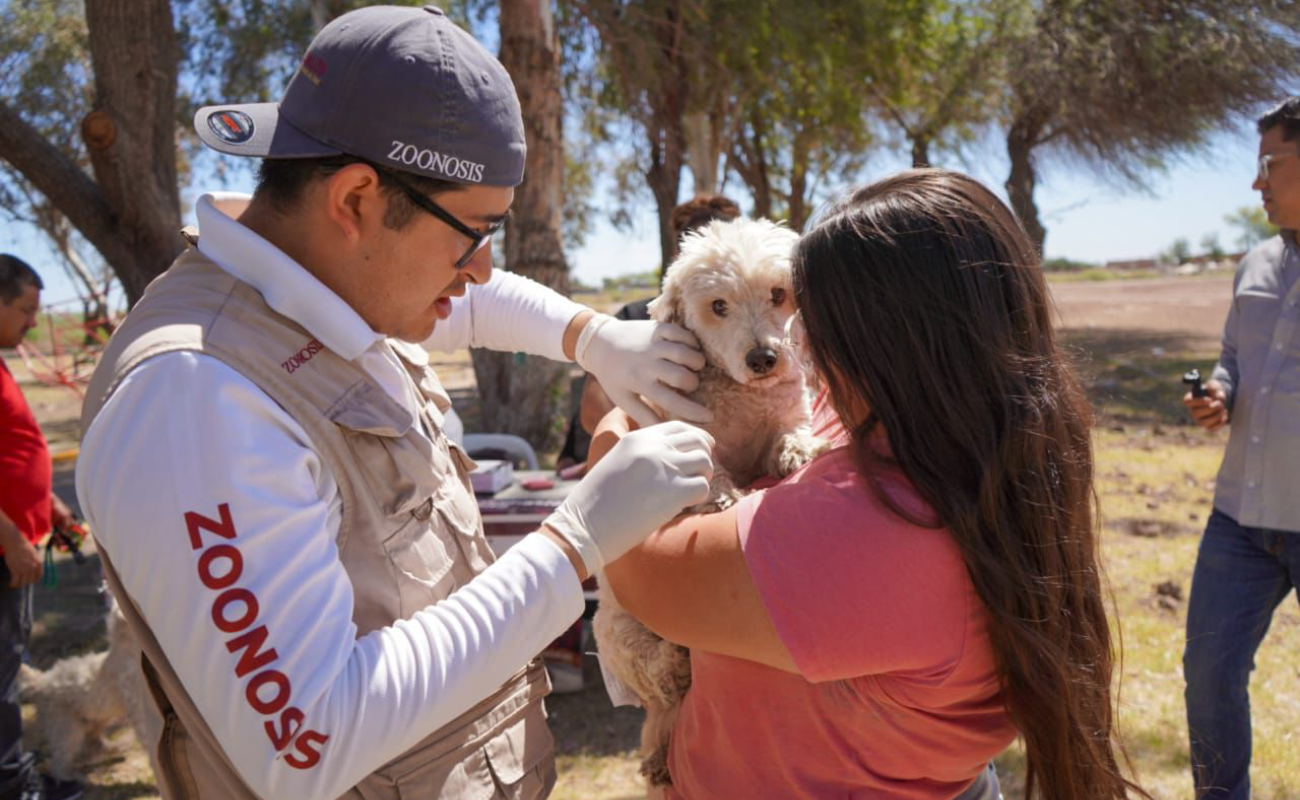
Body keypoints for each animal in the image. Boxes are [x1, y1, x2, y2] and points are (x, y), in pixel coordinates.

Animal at [19, 600, 160, 780]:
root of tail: (42, 681)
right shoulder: (137, 704)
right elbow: (146, 732)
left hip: (98, 719)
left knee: (93, 741)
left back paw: (113, 747)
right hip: (67, 729)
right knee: (58, 761)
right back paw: (71, 777)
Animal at [592, 217, 821, 790]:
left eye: (778, 294)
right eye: (718, 306)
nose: (763, 358)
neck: (742, 398)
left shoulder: (786, 408)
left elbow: (791, 428)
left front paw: (800, 450)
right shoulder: (680, 429)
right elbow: (707, 469)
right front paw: (721, 497)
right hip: (614, 629)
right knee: (659, 688)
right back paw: (668, 692)